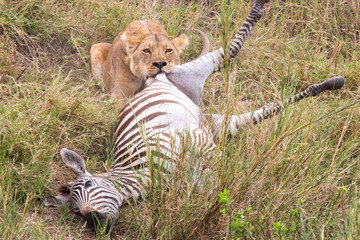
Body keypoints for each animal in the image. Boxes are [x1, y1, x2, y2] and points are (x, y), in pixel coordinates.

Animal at [45, 0, 344, 232]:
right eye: (75, 211)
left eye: (88, 183)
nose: (94, 221)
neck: (144, 173)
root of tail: (152, 81)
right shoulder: (195, 181)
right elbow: (219, 197)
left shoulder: (197, 143)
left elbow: (226, 180)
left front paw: (247, 198)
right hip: (217, 122)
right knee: (267, 108)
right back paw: (331, 84)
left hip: (185, 74)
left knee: (228, 52)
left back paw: (260, 8)